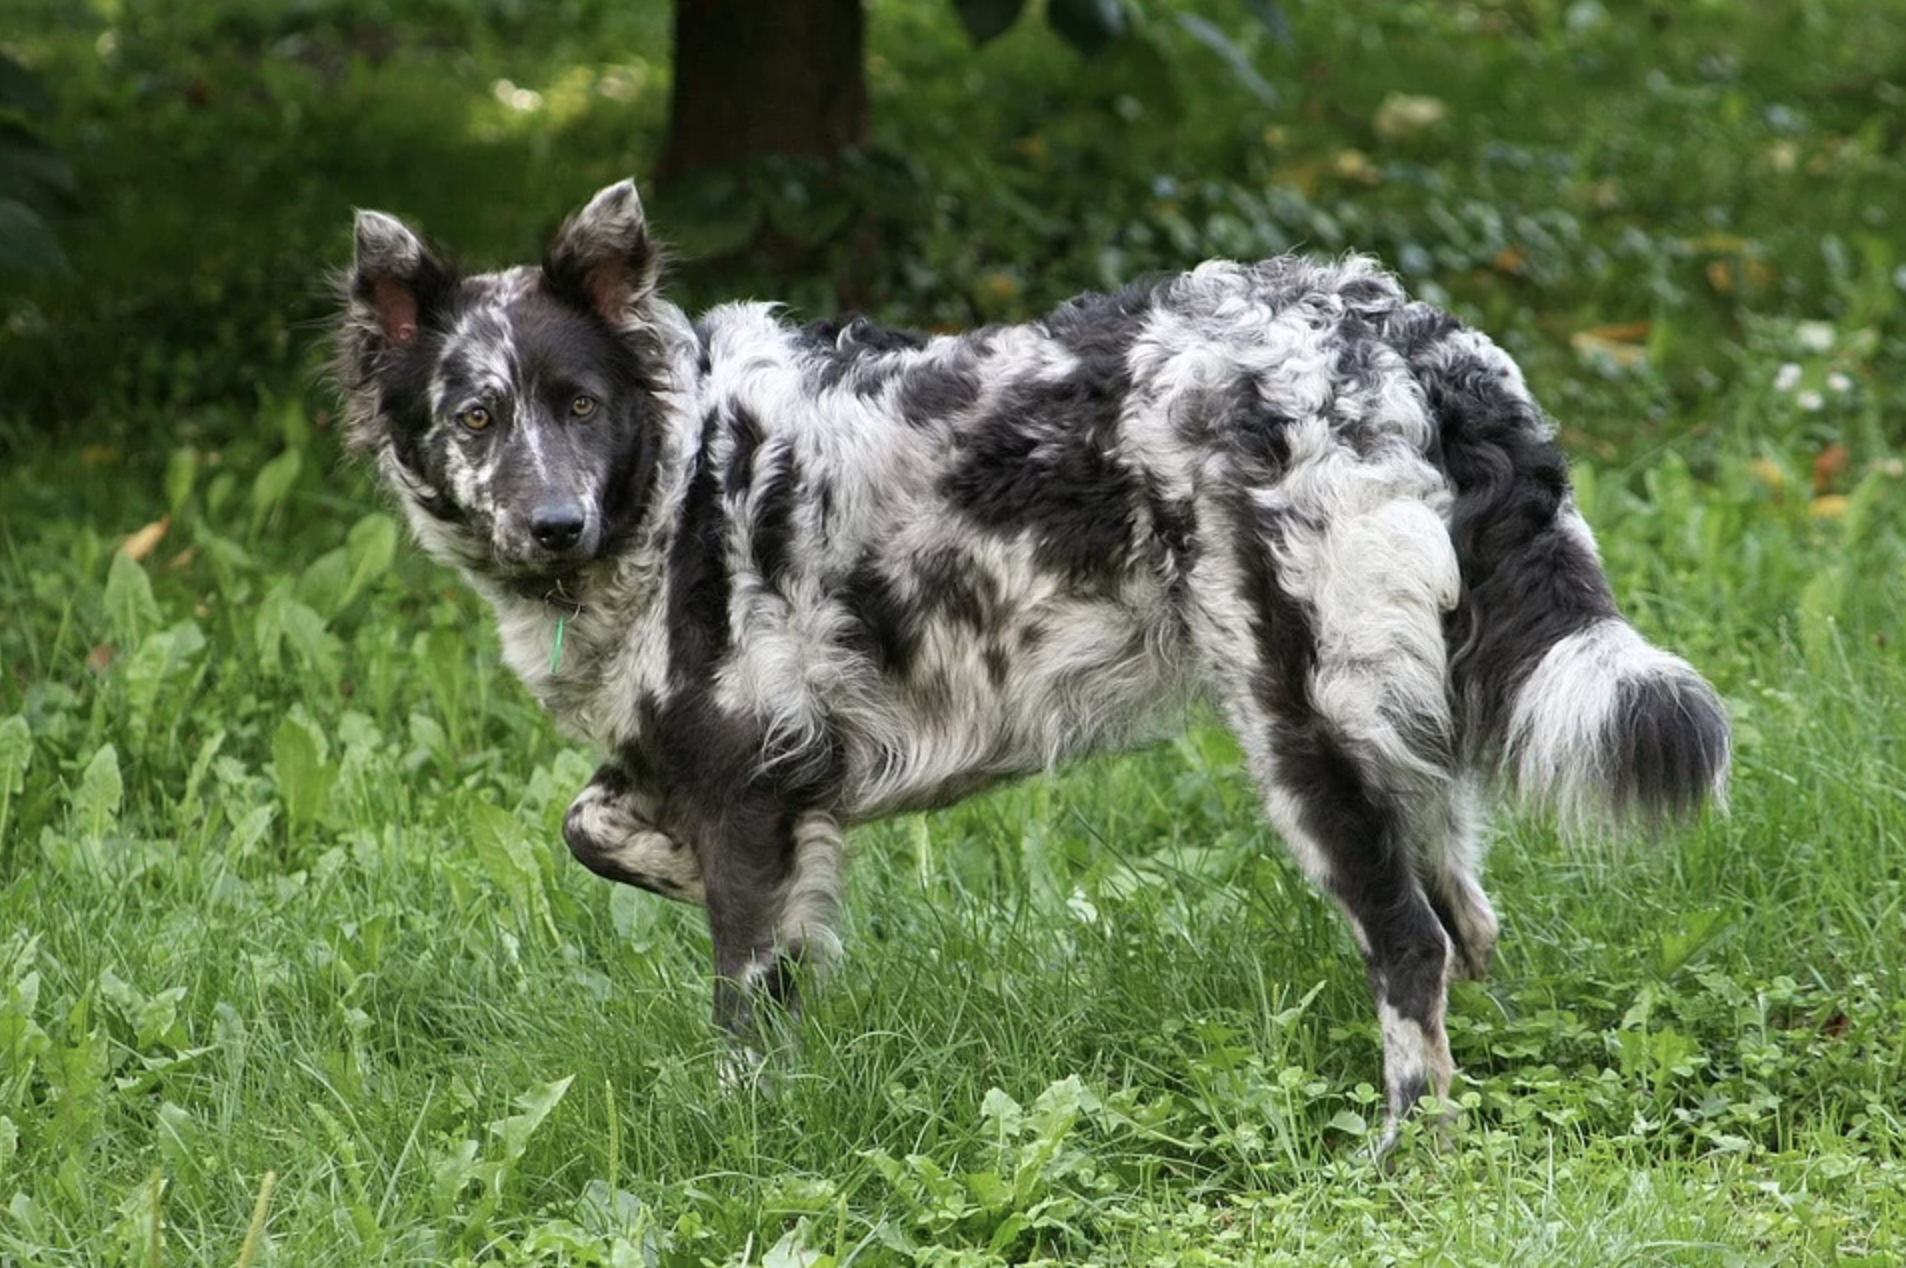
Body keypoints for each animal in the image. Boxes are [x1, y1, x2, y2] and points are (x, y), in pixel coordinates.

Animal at [335, 175, 1738, 1144]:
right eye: (474, 415)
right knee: (1467, 921)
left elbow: (741, 993)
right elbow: (592, 826)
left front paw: (744, 1121)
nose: (550, 521)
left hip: (1303, 731)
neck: (677, 480)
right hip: (1385, 724)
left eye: (578, 404)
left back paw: (1403, 1149)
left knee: (1411, 947)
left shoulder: (746, 781)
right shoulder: (718, 767)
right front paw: (671, 869)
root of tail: (1393, 330)